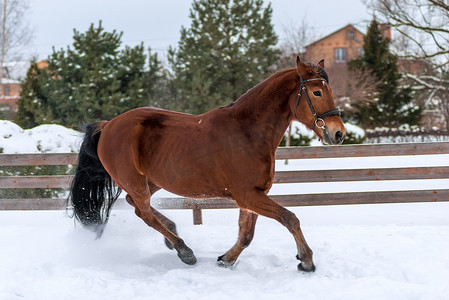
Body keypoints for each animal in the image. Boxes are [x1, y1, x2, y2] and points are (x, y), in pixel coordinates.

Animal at [69, 56, 344, 272]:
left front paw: (226, 260)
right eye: (317, 92)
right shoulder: (248, 195)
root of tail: (108, 126)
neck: (247, 132)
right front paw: (306, 261)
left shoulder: (254, 195)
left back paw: (173, 234)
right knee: (144, 213)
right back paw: (184, 250)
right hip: (135, 182)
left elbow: (247, 234)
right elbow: (290, 218)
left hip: (152, 180)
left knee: (135, 206)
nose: (338, 133)